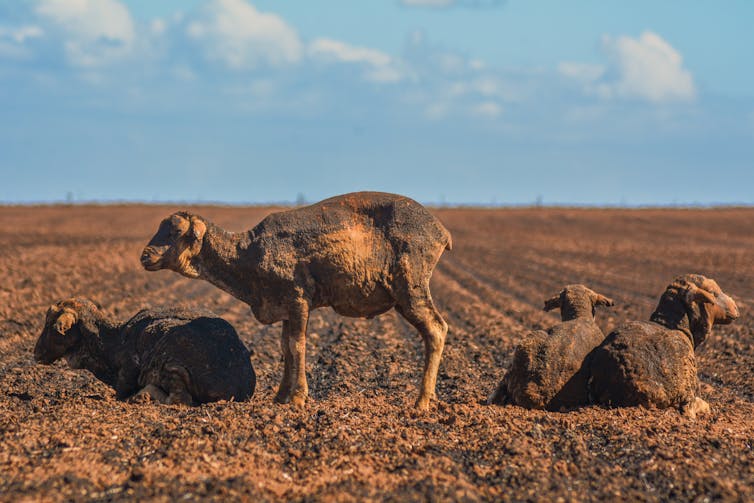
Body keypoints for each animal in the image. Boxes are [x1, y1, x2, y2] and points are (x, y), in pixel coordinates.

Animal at [34, 298, 255, 405]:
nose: (35, 353)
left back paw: (142, 396)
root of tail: (239, 388)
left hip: (169, 365)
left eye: (50, 323)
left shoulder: (128, 373)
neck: (110, 342)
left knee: (180, 400)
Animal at [140, 191, 452, 410]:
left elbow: (297, 346)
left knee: (437, 330)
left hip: (411, 289)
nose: (145, 256)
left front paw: (299, 398)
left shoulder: (298, 299)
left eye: (175, 232)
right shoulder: (284, 307)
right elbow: (285, 348)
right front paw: (280, 396)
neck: (248, 254)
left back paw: (422, 402)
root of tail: (442, 232)